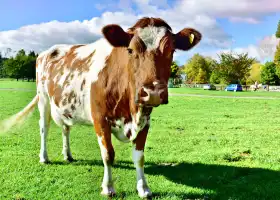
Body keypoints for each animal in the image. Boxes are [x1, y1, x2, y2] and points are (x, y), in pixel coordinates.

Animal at [0, 17, 201, 198]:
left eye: (171, 50)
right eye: (130, 50)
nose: (153, 93)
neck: (131, 113)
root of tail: (48, 50)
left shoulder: (145, 120)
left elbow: (139, 157)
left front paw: (144, 189)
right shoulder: (100, 119)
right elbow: (108, 154)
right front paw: (108, 187)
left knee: (65, 129)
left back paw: (68, 155)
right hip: (44, 99)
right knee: (44, 128)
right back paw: (44, 157)